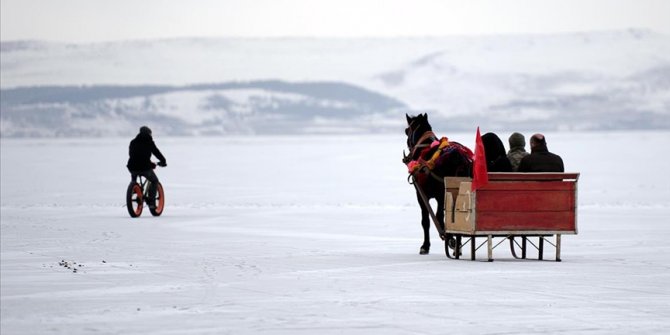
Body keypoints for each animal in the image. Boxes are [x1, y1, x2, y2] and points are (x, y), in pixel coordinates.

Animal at [402, 113, 476, 255]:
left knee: (441, 217)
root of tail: (458, 159)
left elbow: (427, 220)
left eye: (406, 131)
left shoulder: (422, 195)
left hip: (441, 193)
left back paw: (451, 240)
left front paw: (425, 246)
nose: (407, 157)